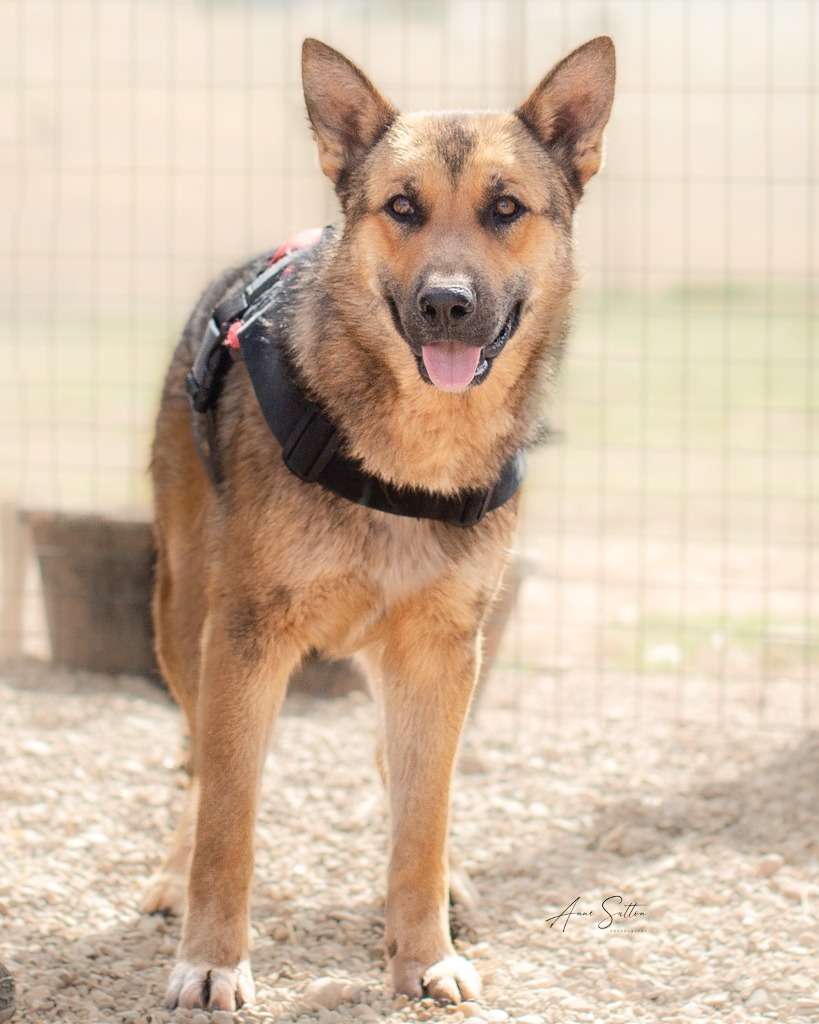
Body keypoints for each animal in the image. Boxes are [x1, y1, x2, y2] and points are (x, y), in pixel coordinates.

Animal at [144, 34, 614, 1007]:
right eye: (402, 207)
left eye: (505, 209)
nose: (445, 304)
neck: (412, 457)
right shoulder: (243, 642)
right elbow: (229, 821)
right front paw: (212, 958)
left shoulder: (440, 648)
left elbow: (421, 815)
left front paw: (423, 950)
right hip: (181, 618)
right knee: (200, 762)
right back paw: (174, 875)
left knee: (401, 776)